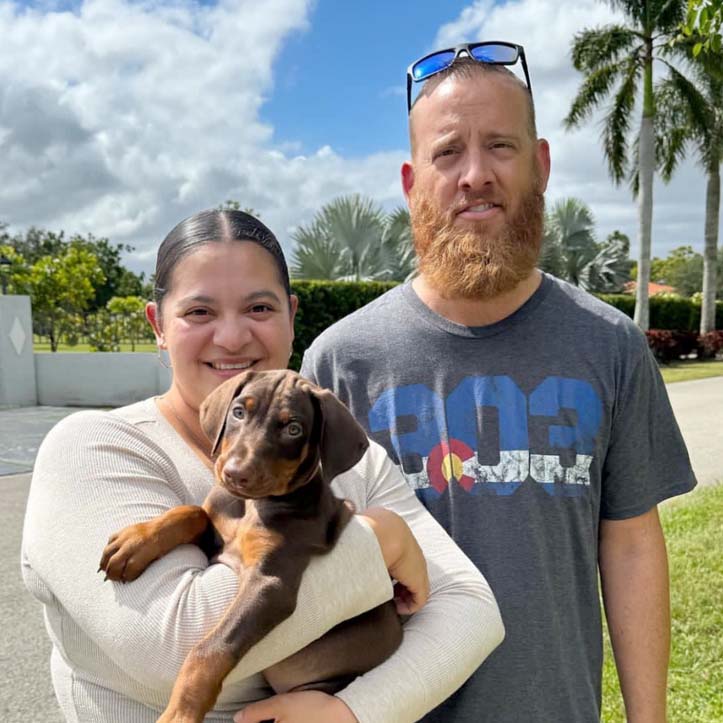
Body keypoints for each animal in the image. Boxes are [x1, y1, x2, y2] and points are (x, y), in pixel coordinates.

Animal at [97, 370, 402, 723]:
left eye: (293, 429)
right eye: (239, 412)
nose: (235, 474)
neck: (251, 506)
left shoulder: (270, 584)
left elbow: (211, 647)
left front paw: (181, 712)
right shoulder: (217, 539)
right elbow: (192, 512)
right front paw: (135, 541)